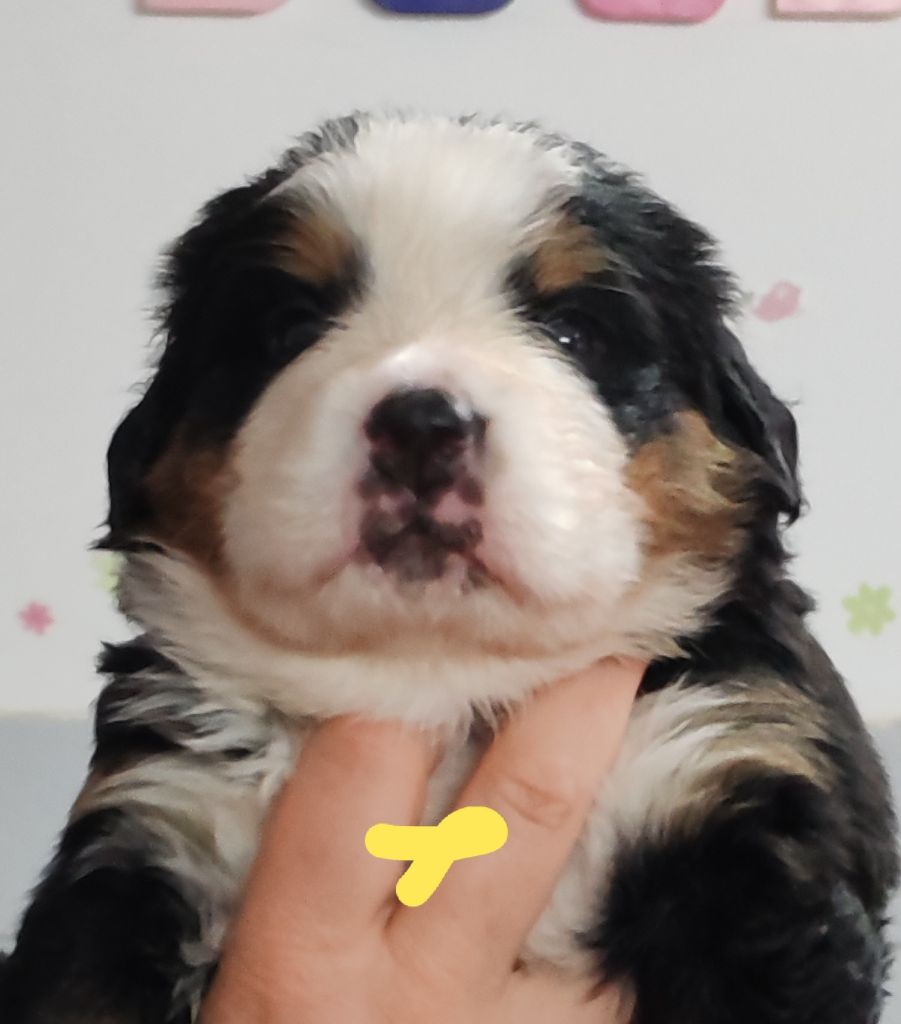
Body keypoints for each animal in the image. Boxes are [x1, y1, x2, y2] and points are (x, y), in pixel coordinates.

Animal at [1, 112, 897, 1024]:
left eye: (573, 332)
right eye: (290, 328)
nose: (421, 426)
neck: (435, 681)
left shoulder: (733, 788)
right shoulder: (145, 837)